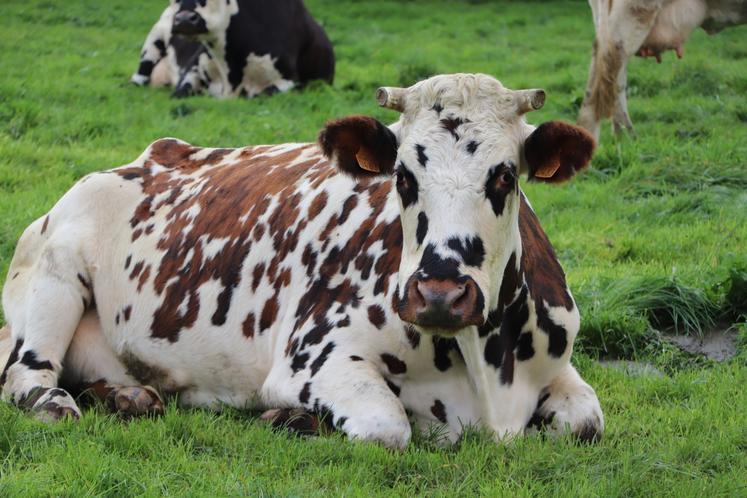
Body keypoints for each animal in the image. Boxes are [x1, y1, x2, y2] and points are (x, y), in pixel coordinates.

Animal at [1, 74, 608, 448]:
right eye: (403, 176)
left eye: (504, 175)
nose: (439, 293)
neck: (485, 370)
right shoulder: (314, 359)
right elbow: (387, 426)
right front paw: (292, 418)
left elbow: (586, 421)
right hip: (54, 274)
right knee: (25, 375)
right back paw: (58, 400)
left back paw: (127, 395)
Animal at [131, 0, 336, 98]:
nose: (184, 19)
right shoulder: (193, 67)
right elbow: (181, 92)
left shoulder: (291, 80)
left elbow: (262, 94)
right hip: (154, 38)